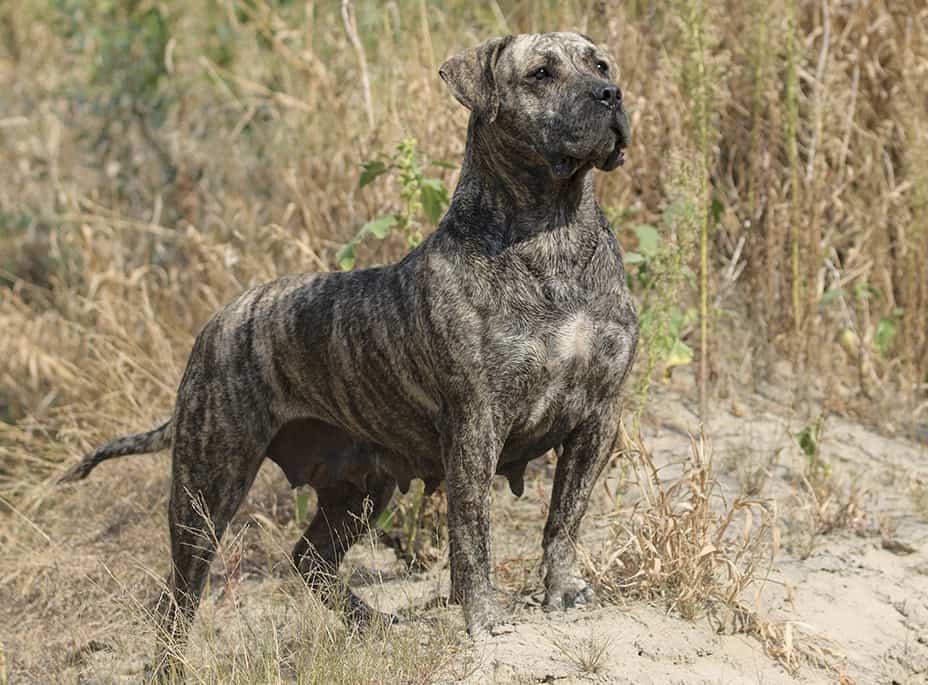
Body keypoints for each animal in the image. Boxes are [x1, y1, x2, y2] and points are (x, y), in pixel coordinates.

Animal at [59, 30, 640, 668]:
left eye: (600, 64)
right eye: (540, 73)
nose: (610, 94)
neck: (553, 232)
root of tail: (218, 322)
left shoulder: (598, 415)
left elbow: (565, 517)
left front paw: (562, 591)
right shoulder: (476, 426)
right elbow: (472, 536)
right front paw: (487, 623)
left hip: (358, 490)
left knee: (309, 560)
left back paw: (371, 623)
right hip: (206, 491)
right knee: (179, 595)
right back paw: (173, 665)